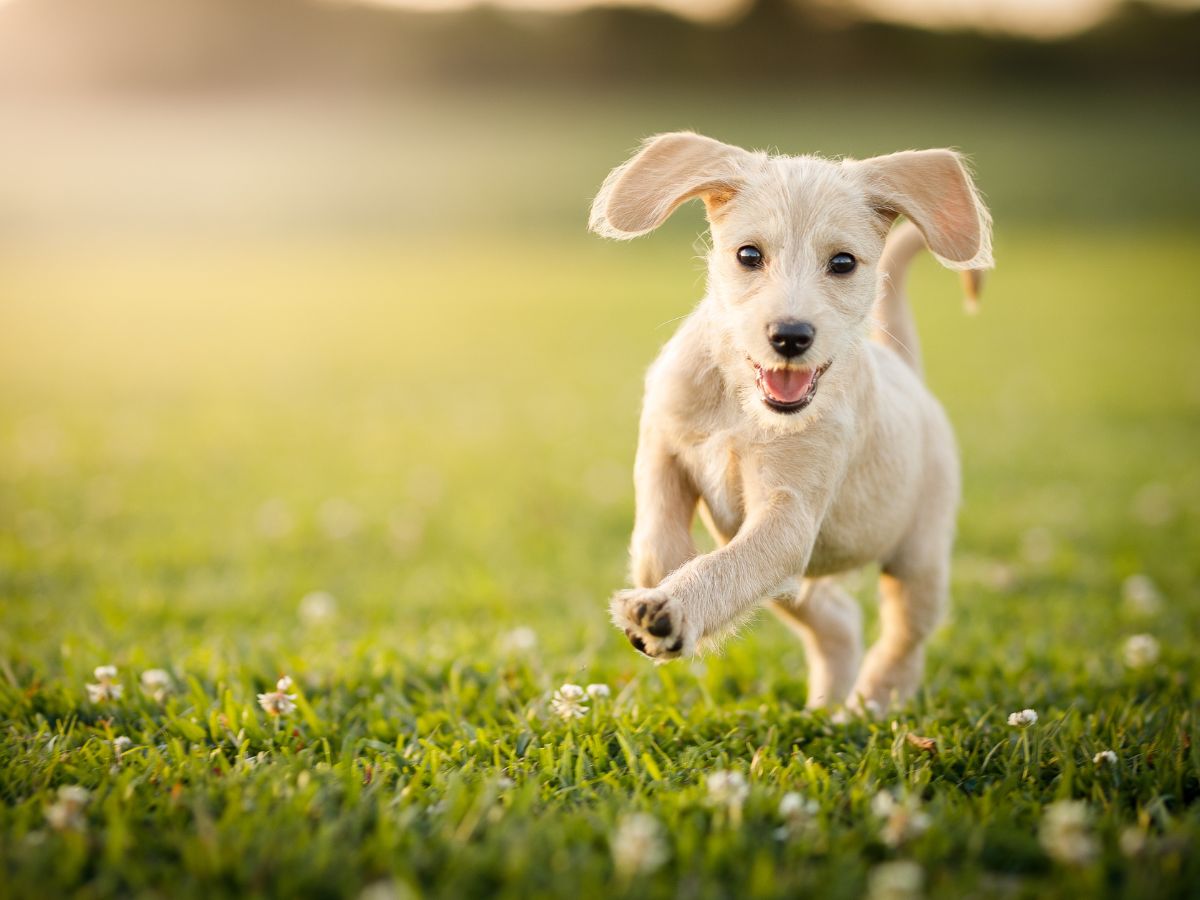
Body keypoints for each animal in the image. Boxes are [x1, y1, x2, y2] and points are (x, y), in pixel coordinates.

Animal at [590, 132, 993, 710]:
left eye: (843, 262)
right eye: (749, 255)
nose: (790, 336)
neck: (740, 403)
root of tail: (906, 370)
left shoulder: (788, 517)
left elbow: (725, 566)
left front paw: (672, 608)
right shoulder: (663, 448)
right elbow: (654, 542)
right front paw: (666, 581)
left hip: (918, 560)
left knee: (903, 639)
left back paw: (872, 703)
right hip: (794, 585)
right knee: (839, 620)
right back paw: (828, 708)